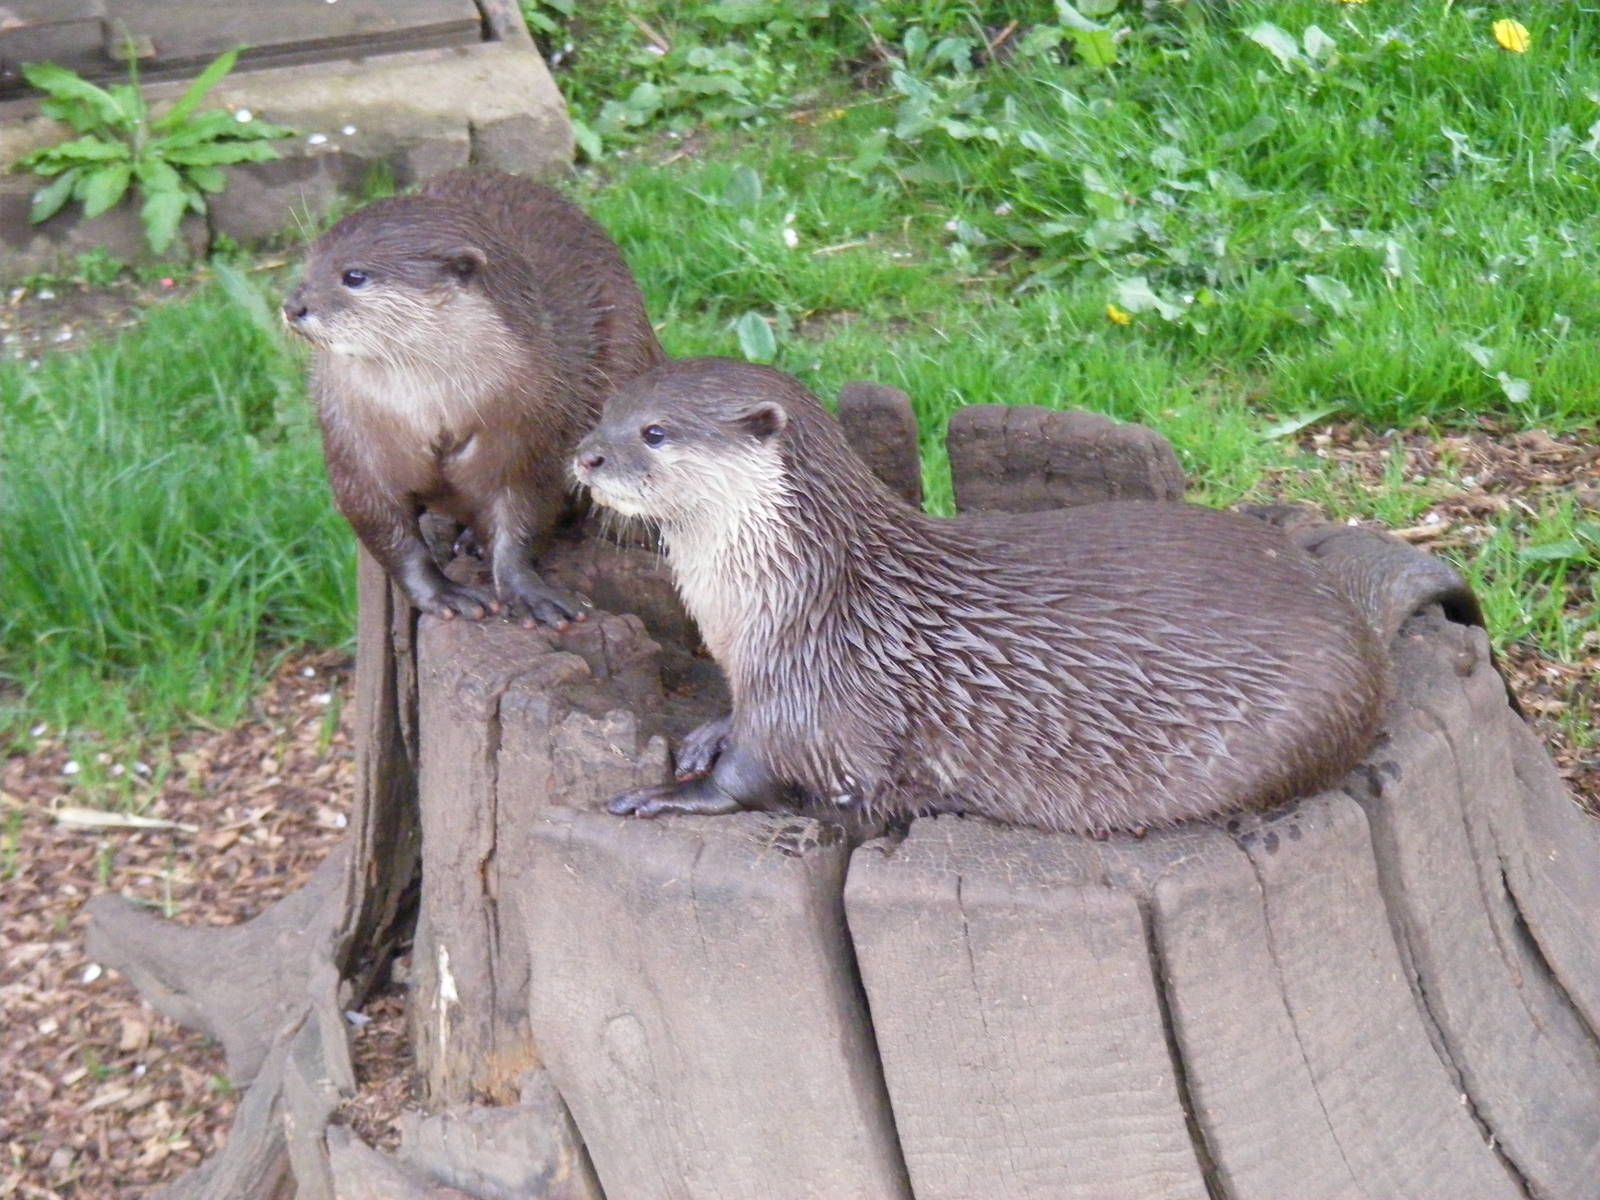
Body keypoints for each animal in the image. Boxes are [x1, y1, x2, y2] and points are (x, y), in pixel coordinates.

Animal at [284, 169, 664, 626]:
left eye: (354, 276)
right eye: (307, 268)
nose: (293, 305)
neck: (430, 414)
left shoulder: (532, 436)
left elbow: (525, 516)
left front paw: (526, 591)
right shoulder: (354, 447)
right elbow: (388, 533)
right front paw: (444, 594)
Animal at [572, 357, 1392, 836]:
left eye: (655, 432)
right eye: (604, 412)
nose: (584, 455)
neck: (799, 596)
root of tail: (1362, 635)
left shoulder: (815, 692)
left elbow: (754, 777)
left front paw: (671, 794)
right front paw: (707, 732)